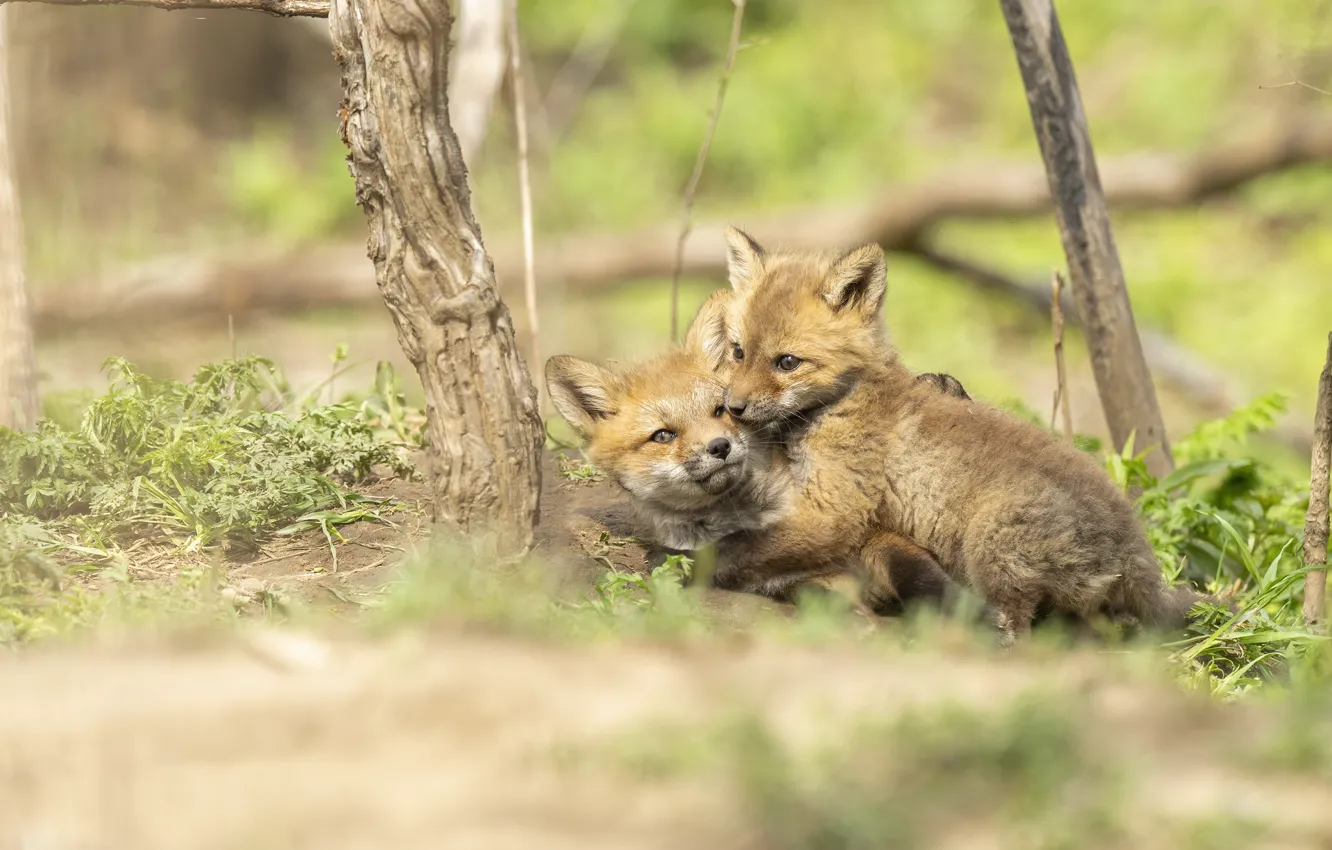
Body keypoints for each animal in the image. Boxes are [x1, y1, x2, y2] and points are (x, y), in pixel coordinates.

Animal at [545, 292, 970, 614]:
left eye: (720, 410)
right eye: (663, 436)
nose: (719, 446)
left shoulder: (869, 531)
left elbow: (926, 579)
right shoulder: (789, 580)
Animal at [709, 226, 1206, 643]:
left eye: (787, 362)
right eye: (738, 352)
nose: (734, 408)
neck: (846, 398)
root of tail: (1131, 547)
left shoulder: (833, 511)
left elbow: (744, 548)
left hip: (988, 550)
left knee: (1016, 633)